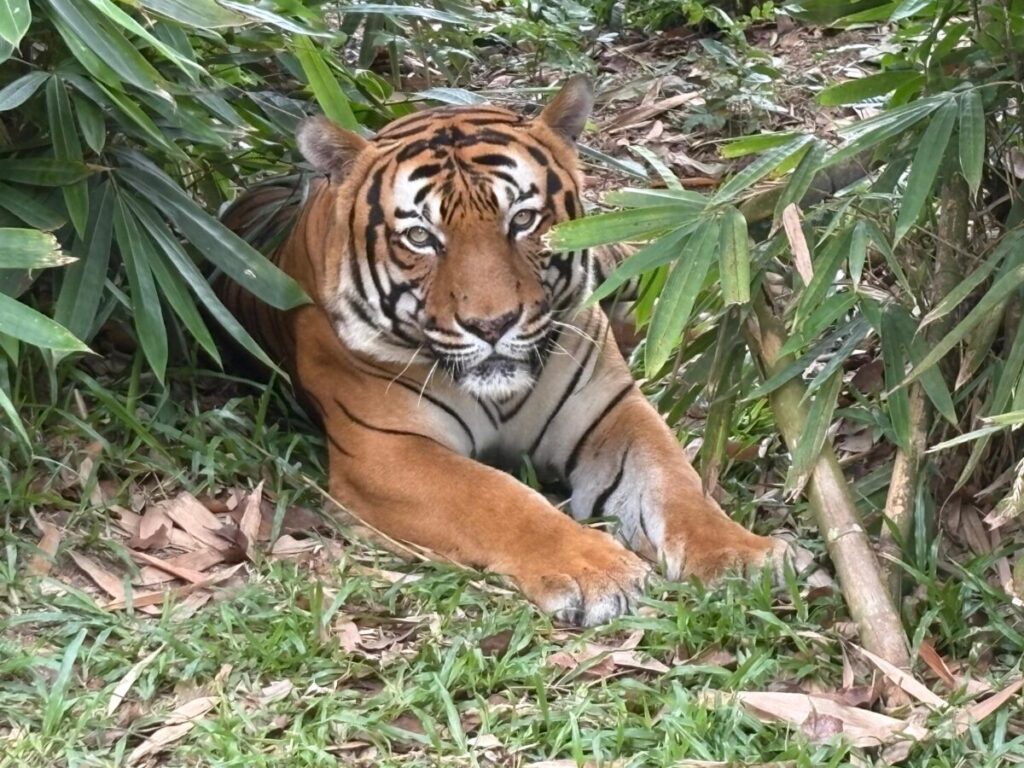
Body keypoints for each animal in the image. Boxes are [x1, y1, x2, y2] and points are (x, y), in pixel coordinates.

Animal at [219, 76, 805, 626]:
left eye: (522, 220)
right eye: (420, 237)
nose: (492, 324)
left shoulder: (612, 412)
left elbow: (676, 483)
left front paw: (739, 555)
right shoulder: (386, 448)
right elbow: (495, 497)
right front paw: (596, 569)